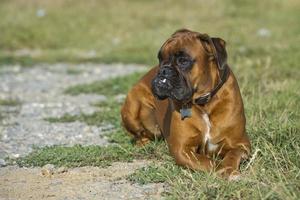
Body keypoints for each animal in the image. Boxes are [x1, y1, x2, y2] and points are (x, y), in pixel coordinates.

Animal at [122, 28, 251, 180]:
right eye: (160, 59)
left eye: (183, 61)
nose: (163, 70)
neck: (204, 103)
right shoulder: (182, 150)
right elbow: (208, 161)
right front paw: (222, 169)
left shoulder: (241, 144)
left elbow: (232, 154)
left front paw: (229, 169)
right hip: (132, 109)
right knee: (140, 134)